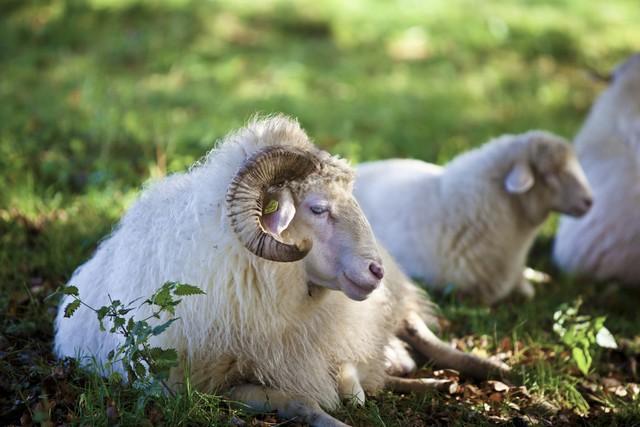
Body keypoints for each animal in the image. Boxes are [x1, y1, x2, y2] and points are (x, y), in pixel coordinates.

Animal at [55, 115, 510, 426]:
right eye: (318, 208)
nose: (376, 269)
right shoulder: (212, 387)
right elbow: (299, 401)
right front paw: (335, 417)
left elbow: (349, 377)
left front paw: (354, 390)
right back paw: (433, 382)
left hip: (393, 304)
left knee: (418, 333)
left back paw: (490, 369)